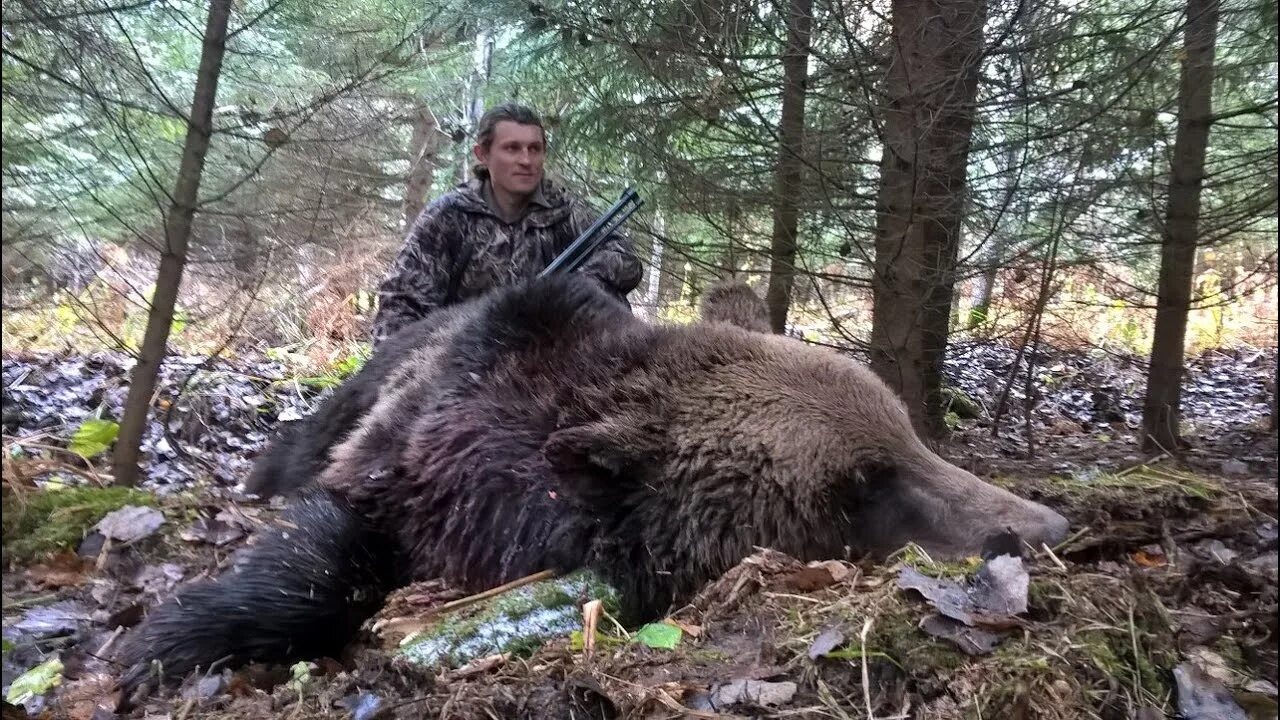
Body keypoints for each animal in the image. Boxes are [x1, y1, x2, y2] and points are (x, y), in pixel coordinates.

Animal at [115, 272, 1070, 702]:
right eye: (865, 482)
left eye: (909, 435)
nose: (1049, 526)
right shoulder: (407, 456)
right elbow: (324, 549)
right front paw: (160, 645)